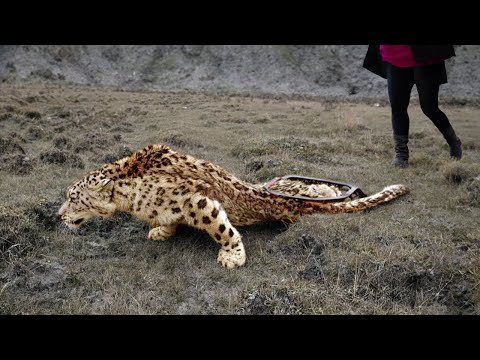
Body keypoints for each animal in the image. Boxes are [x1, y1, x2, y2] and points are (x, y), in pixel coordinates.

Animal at [56, 145, 408, 268]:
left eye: (73, 197)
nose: (59, 215)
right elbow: (167, 220)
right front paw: (162, 230)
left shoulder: (195, 201)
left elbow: (222, 228)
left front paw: (232, 256)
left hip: (300, 200)